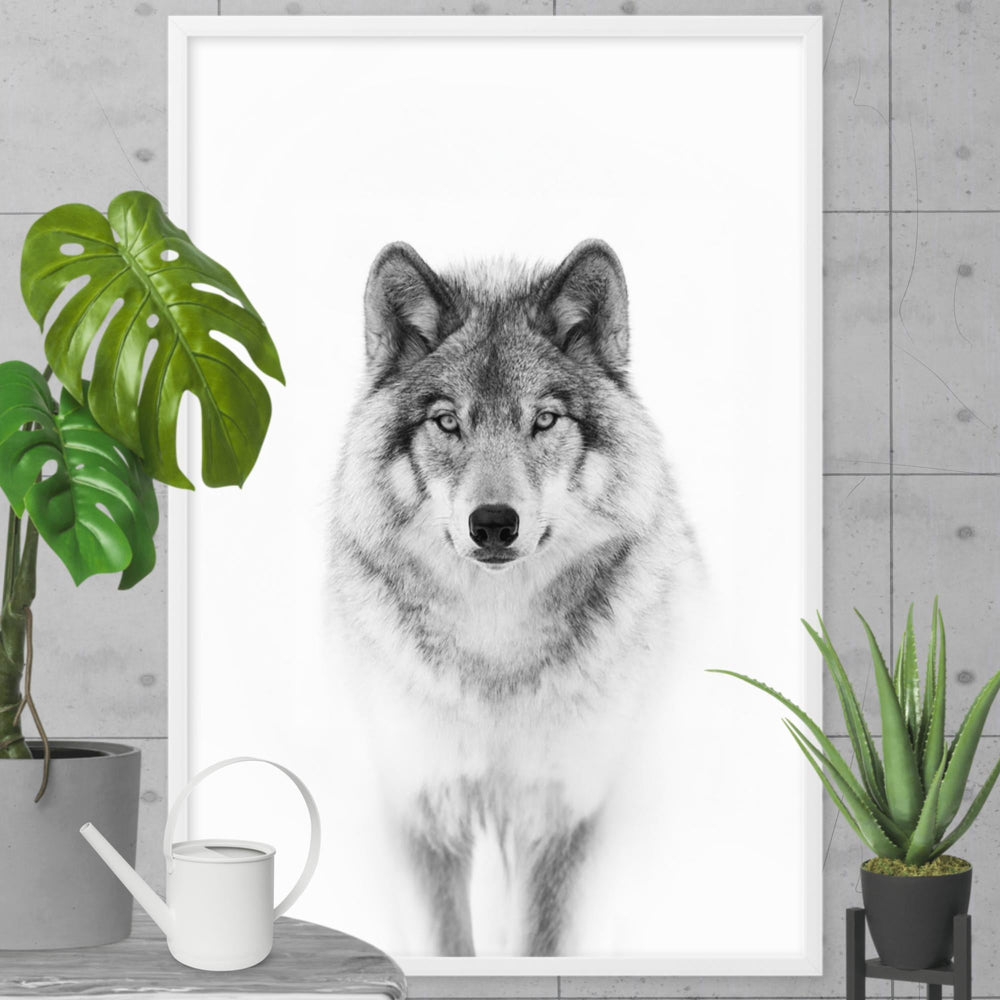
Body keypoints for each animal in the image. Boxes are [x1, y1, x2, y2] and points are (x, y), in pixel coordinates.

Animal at [327, 239, 702, 957]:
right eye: (448, 422)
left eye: (544, 420)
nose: (494, 523)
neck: (494, 649)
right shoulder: (424, 810)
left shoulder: (563, 816)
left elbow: (539, 942)